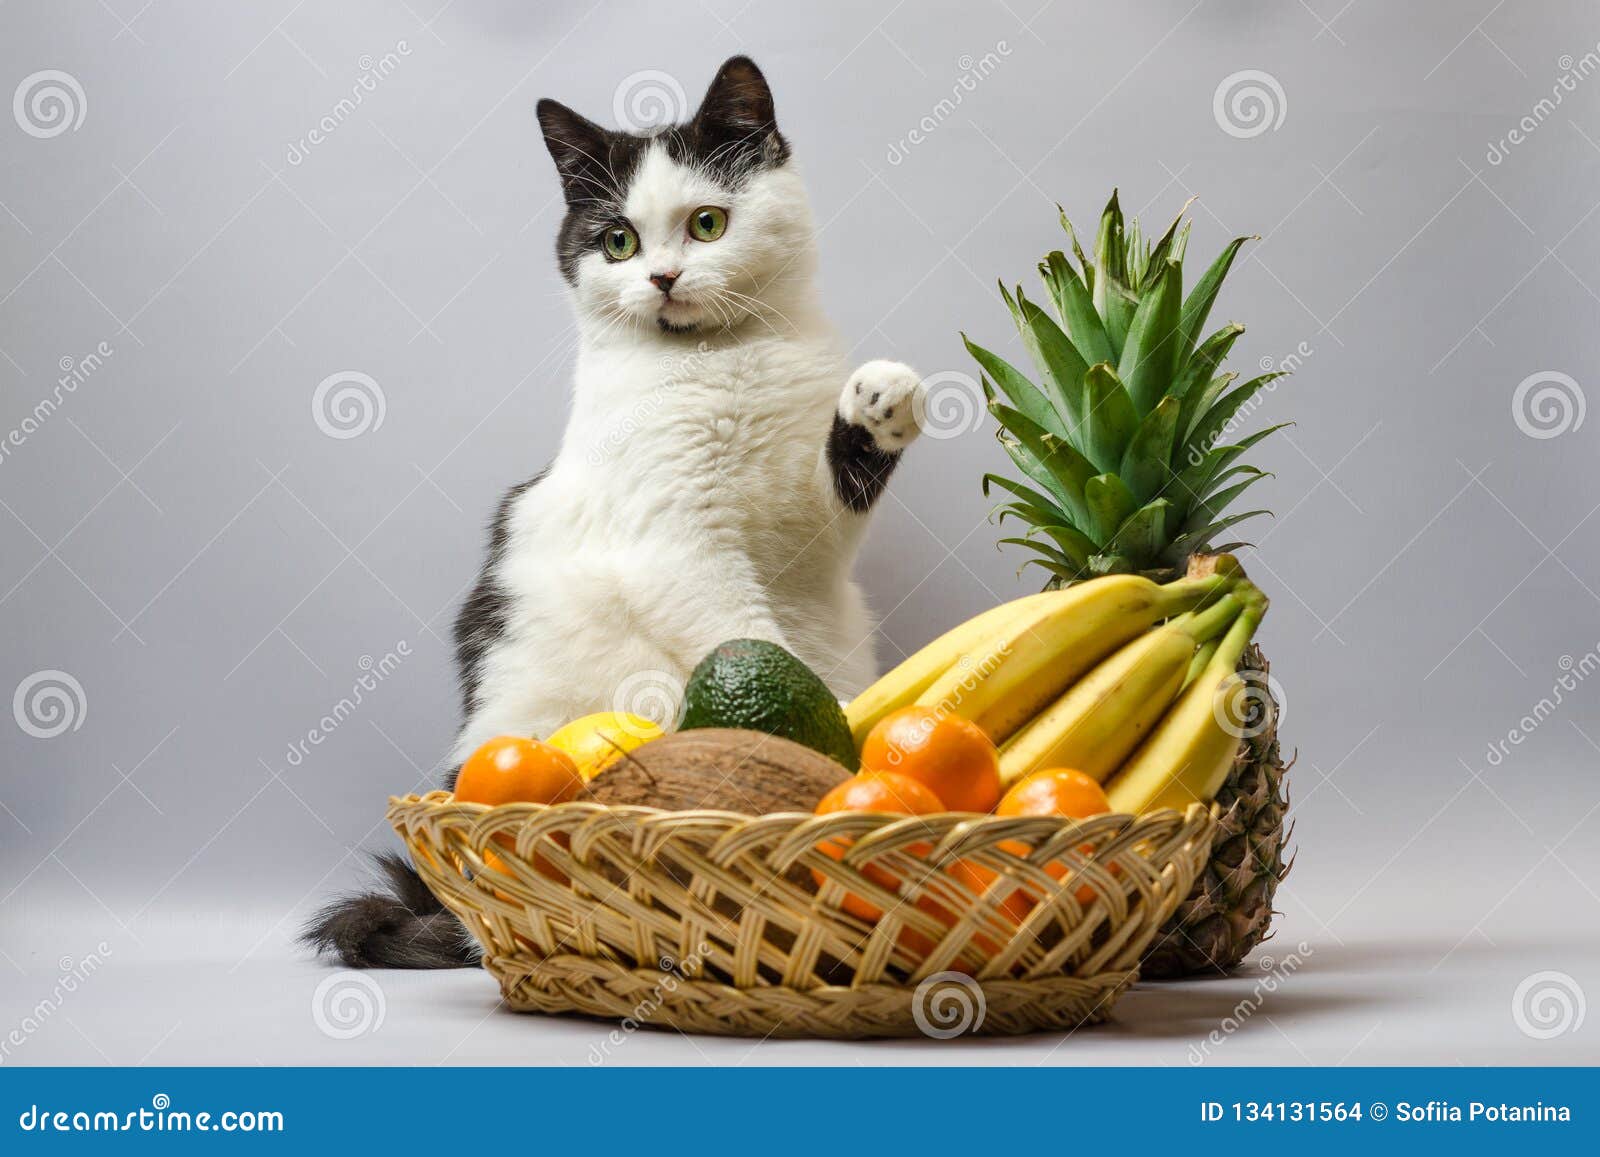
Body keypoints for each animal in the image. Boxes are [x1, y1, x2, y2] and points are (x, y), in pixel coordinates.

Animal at [307, 58, 928, 972]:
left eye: (707, 223)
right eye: (618, 241)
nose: (662, 277)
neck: (725, 362)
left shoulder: (808, 531)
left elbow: (833, 497)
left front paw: (883, 399)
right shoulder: (674, 546)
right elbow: (750, 642)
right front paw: (819, 748)